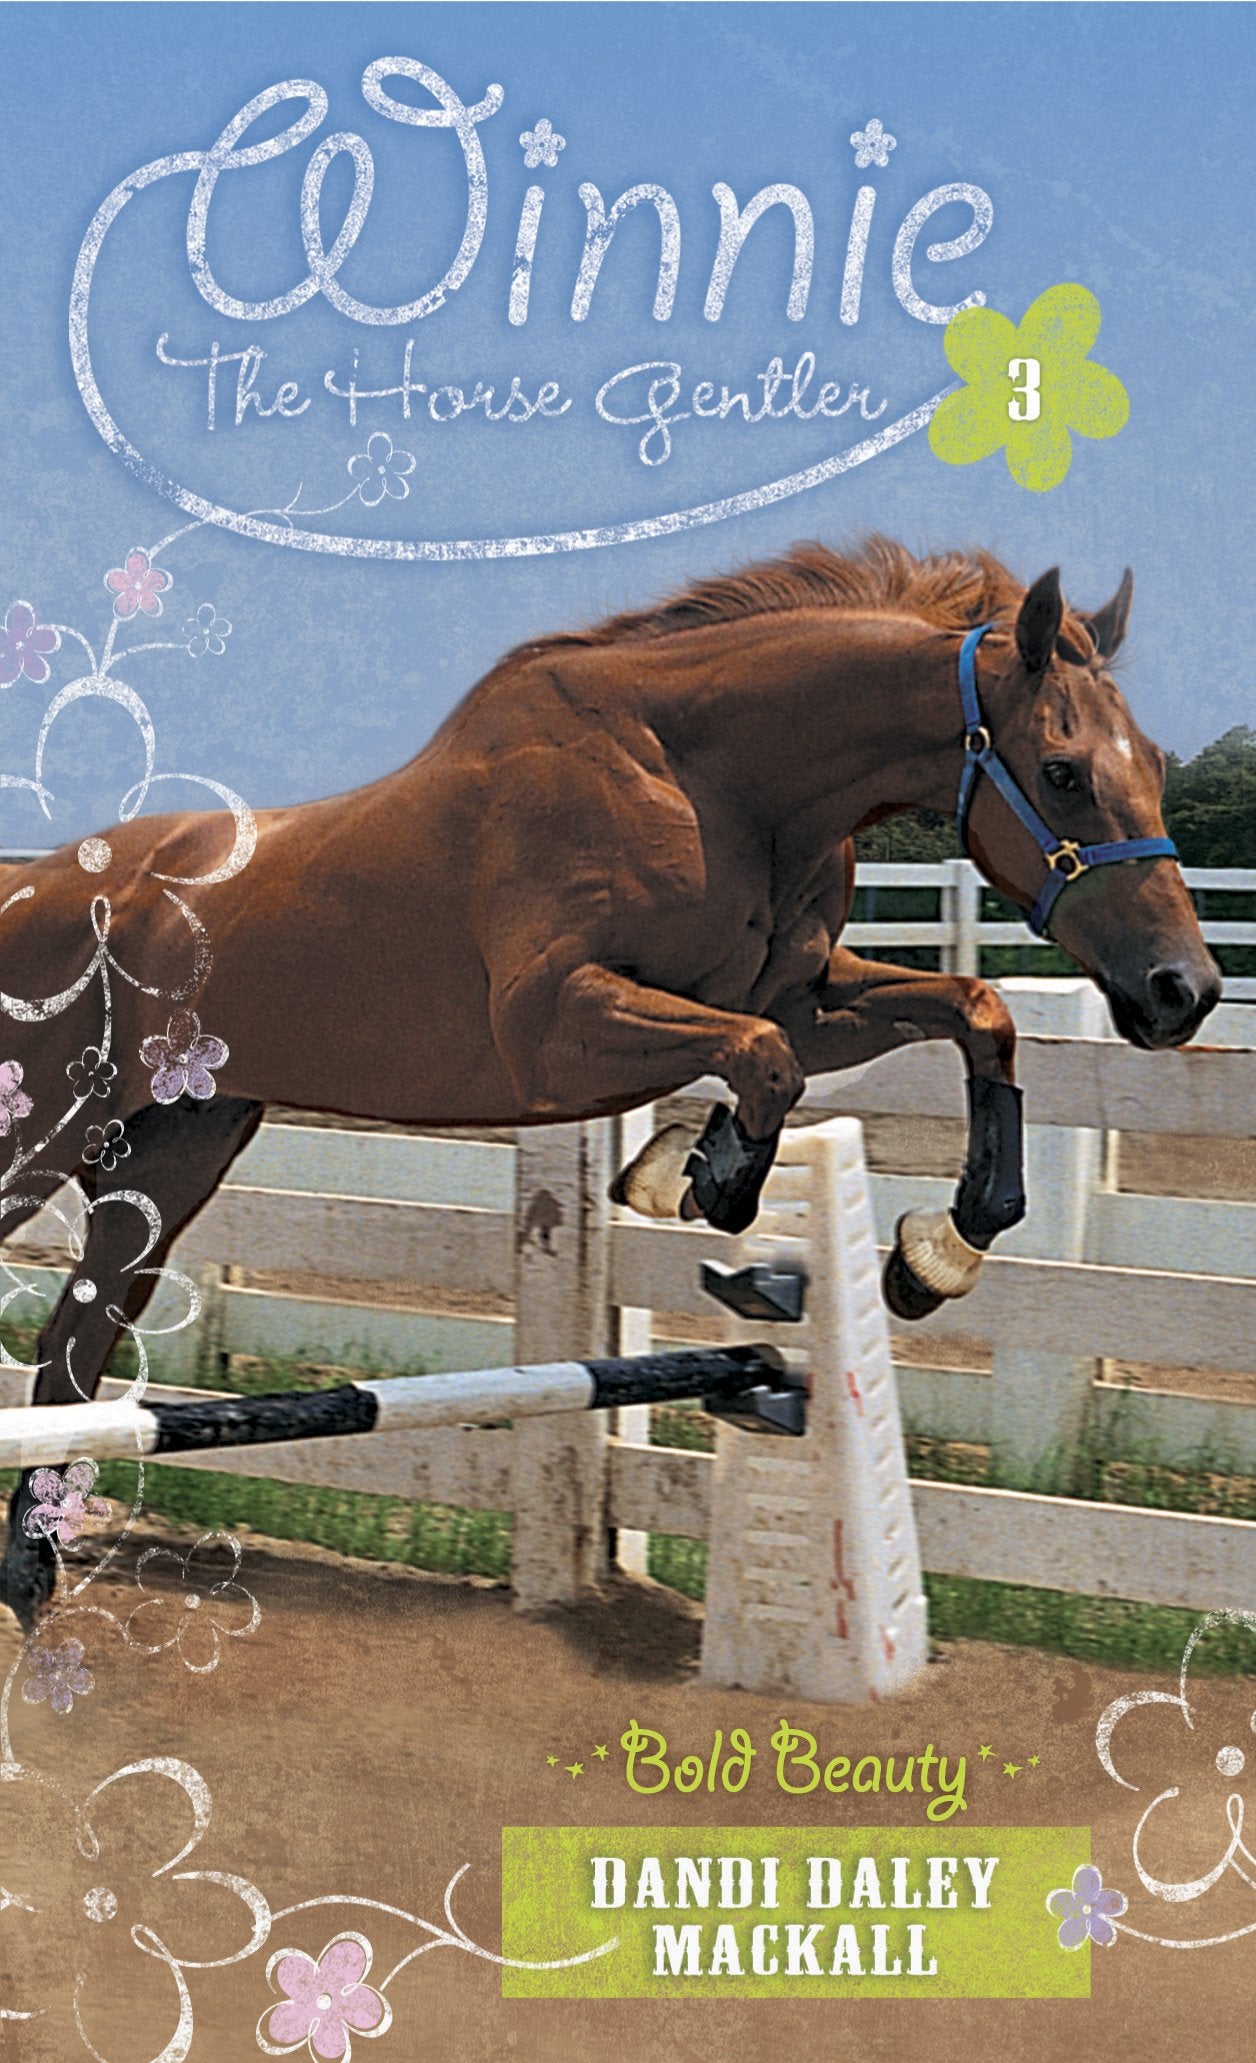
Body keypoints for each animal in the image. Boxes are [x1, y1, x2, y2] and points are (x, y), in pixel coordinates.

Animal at [0, 537, 1221, 1626]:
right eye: (1062, 771)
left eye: (1153, 763)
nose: (1184, 991)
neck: (710, 779)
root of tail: (32, 889)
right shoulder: (556, 1026)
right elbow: (759, 1064)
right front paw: (700, 1176)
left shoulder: (805, 998)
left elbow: (971, 1015)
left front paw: (936, 1253)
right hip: (41, 1138)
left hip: (174, 1152)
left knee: (70, 1362)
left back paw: (32, 1578)